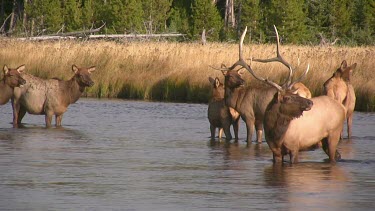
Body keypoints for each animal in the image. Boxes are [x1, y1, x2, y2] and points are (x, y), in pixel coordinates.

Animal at [217, 25, 346, 163]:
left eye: (295, 94)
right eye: (288, 97)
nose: (310, 103)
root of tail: (341, 107)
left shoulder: (294, 146)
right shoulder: (275, 151)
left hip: (333, 134)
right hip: (323, 141)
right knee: (337, 155)